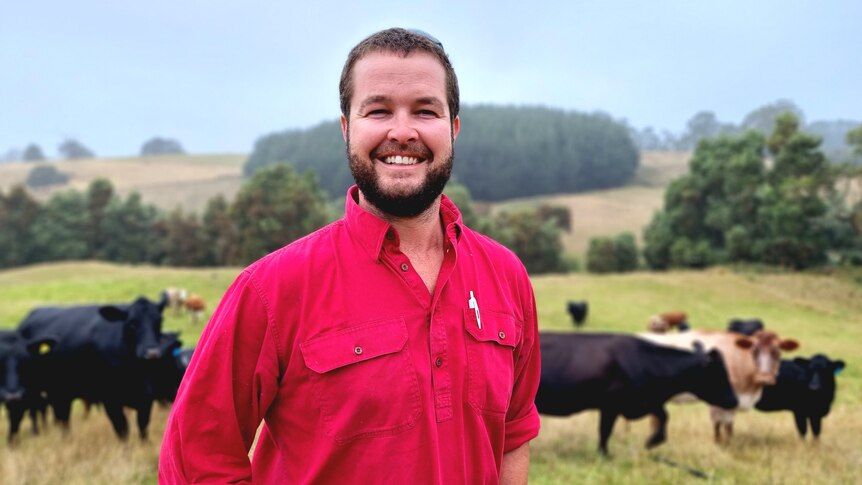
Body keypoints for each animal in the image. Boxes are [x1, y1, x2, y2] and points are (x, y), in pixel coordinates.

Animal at [19, 294, 169, 438]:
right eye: (132, 323)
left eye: (160, 321)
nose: (152, 353)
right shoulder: (110, 400)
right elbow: (122, 429)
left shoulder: (146, 398)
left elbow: (143, 428)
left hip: (61, 392)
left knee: (63, 417)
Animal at [540, 328, 736, 454]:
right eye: (719, 374)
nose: (734, 400)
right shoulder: (612, 404)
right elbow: (605, 430)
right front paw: (605, 455)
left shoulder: (643, 401)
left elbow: (664, 415)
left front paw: (652, 442)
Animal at [640, 328, 804, 442]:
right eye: (754, 351)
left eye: (777, 352)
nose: (764, 377)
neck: (749, 390)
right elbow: (717, 423)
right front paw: (717, 444)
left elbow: (729, 425)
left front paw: (728, 443)